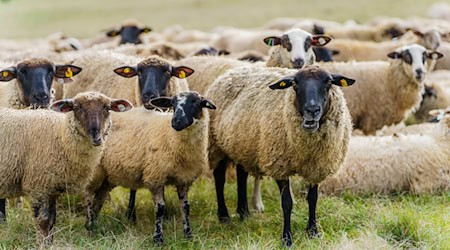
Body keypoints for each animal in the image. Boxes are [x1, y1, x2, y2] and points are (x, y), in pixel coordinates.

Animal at [0, 92, 134, 246]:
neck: (61, 137)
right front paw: (42, 245)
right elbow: (44, 221)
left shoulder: (51, 188)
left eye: (107, 108)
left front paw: (49, 244)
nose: (96, 136)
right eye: (76, 108)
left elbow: (52, 220)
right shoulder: (38, 187)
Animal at [85, 91, 217, 244]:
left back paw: (93, 225)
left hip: (107, 176)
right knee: (88, 195)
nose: (176, 122)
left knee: (98, 199)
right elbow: (160, 209)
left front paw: (188, 235)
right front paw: (158, 238)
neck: (171, 137)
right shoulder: (156, 176)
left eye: (195, 102)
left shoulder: (184, 178)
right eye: (172, 103)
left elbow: (185, 207)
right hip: (94, 171)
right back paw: (89, 226)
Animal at [206, 65, 356, 247]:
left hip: (244, 145)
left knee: (241, 175)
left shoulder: (316, 167)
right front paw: (287, 238)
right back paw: (224, 216)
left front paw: (313, 232)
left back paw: (244, 212)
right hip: (217, 146)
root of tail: (232, 70)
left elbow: (313, 199)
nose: (312, 110)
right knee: (219, 179)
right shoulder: (279, 165)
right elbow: (287, 203)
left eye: (328, 83)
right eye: (295, 84)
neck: (307, 149)